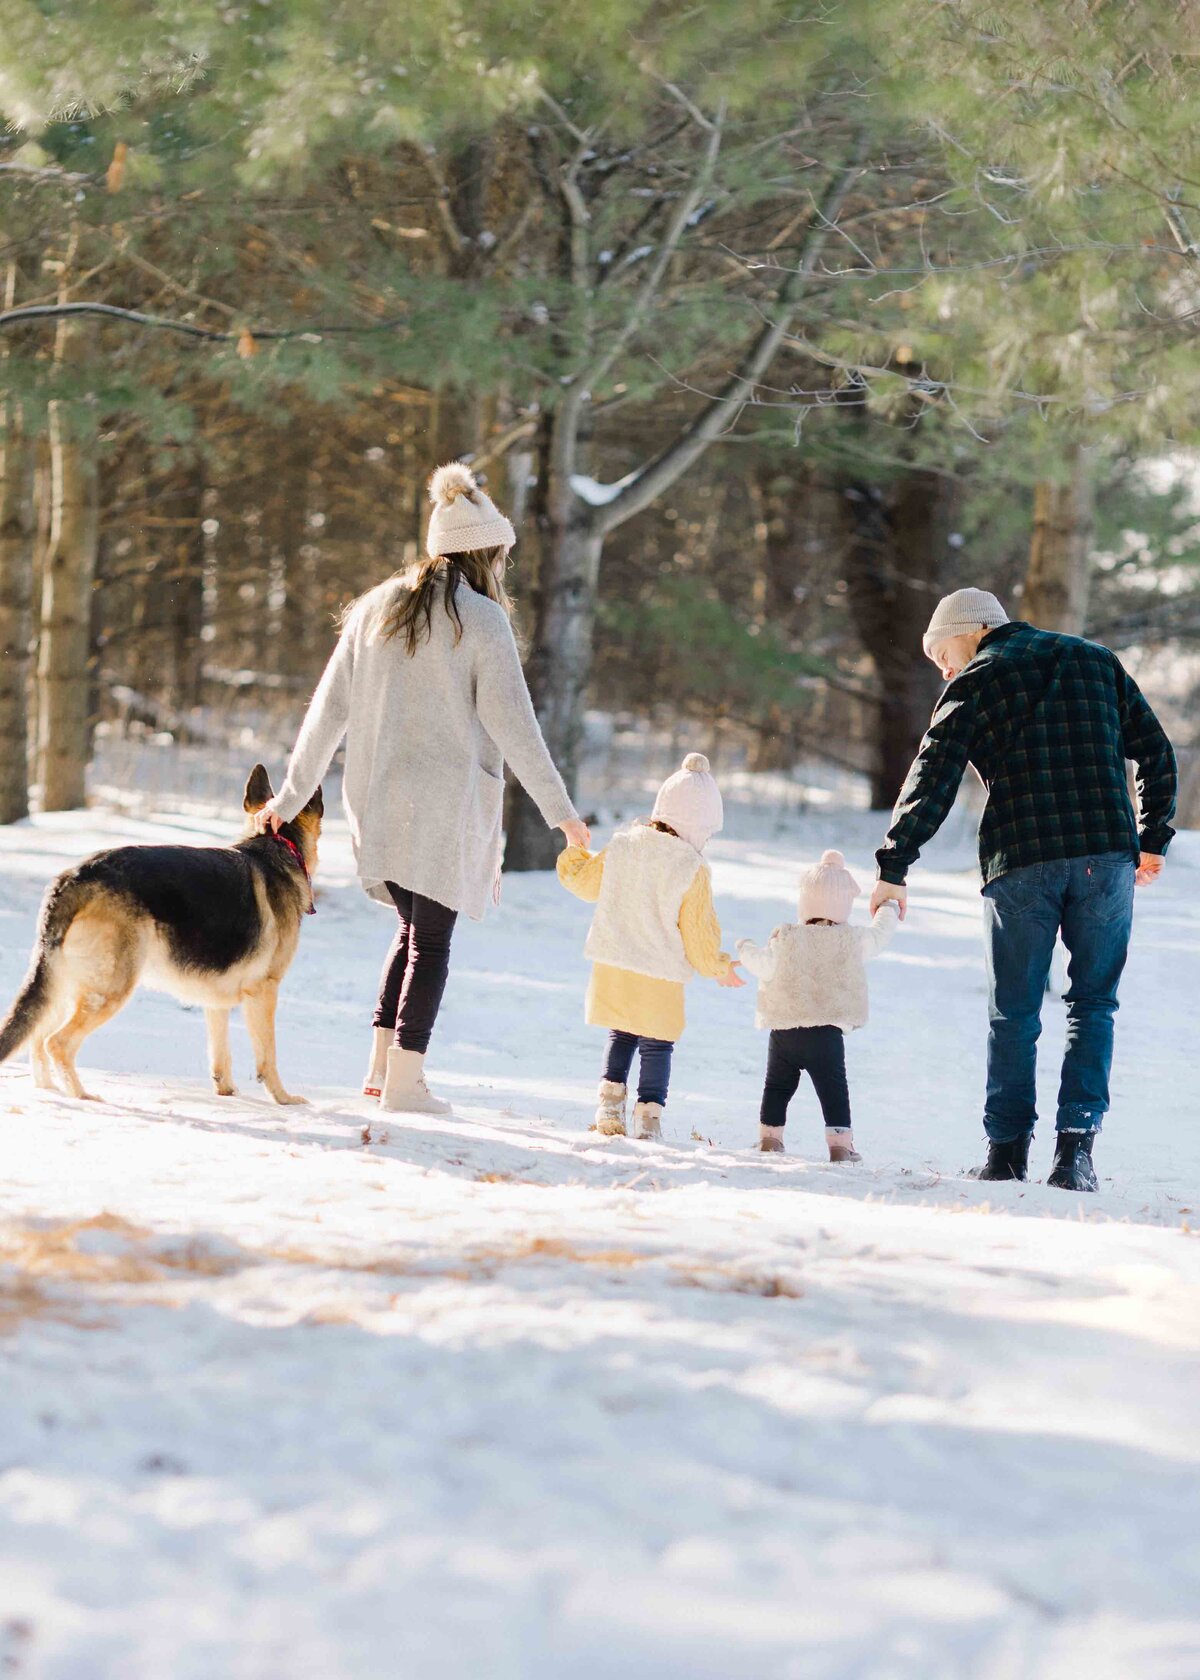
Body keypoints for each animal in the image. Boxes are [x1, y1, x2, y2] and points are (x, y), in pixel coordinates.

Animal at [0, 762, 321, 1102]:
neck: (277, 846)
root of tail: (74, 876)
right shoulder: (264, 992)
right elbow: (268, 1056)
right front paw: (284, 1099)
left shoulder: (216, 1001)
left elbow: (220, 1053)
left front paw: (226, 1092)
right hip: (109, 990)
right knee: (57, 1043)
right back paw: (81, 1096)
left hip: (64, 986)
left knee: (37, 1039)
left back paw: (51, 1091)